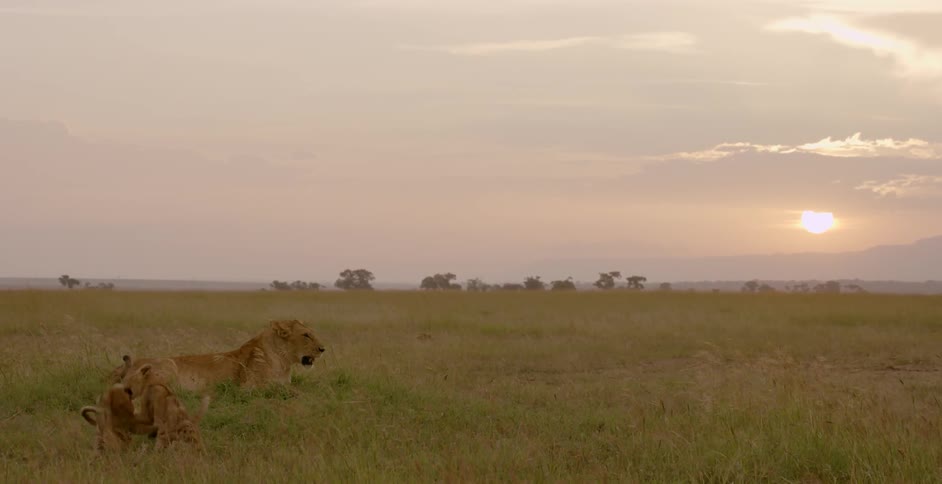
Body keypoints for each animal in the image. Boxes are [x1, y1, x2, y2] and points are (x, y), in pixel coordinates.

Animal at [109, 319, 326, 392]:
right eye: (306, 335)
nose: (323, 349)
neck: (283, 361)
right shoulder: (247, 388)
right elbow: (292, 391)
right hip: (168, 365)